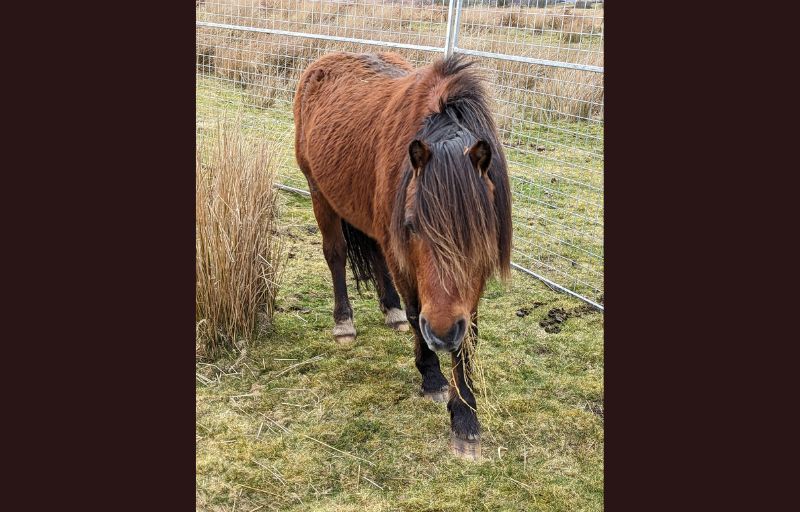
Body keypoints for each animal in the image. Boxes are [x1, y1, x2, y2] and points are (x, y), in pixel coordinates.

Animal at [293, 52, 511, 459]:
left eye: (480, 229)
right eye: (412, 224)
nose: (441, 333)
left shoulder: (469, 287)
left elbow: (468, 337)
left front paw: (465, 418)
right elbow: (415, 312)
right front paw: (431, 377)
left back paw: (388, 308)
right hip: (318, 193)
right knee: (336, 254)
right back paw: (344, 321)